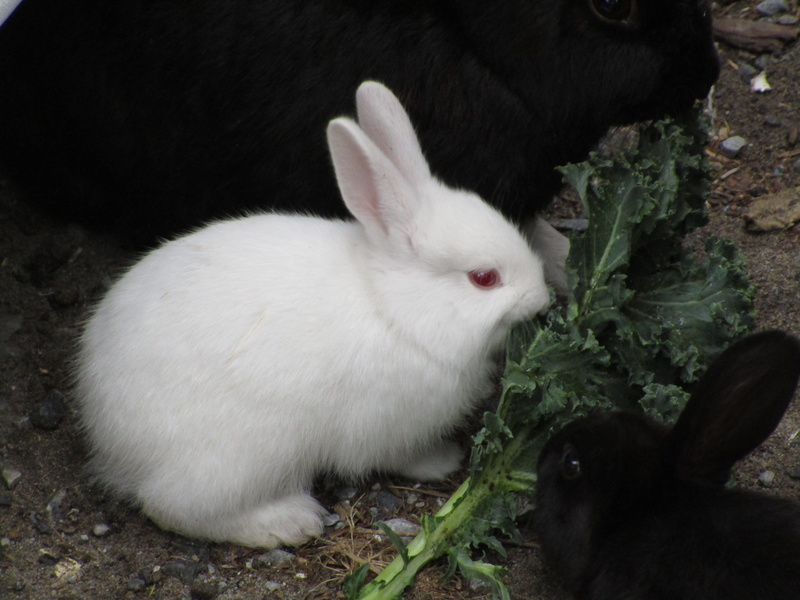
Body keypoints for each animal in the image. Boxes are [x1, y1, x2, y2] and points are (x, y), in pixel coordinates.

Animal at [73, 81, 551, 548]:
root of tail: (108, 435)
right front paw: (443, 460)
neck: (393, 307)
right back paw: (285, 523)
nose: (542, 298)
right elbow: (402, 457)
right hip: (249, 453)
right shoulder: (386, 427)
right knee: (173, 506)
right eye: (484, 278)